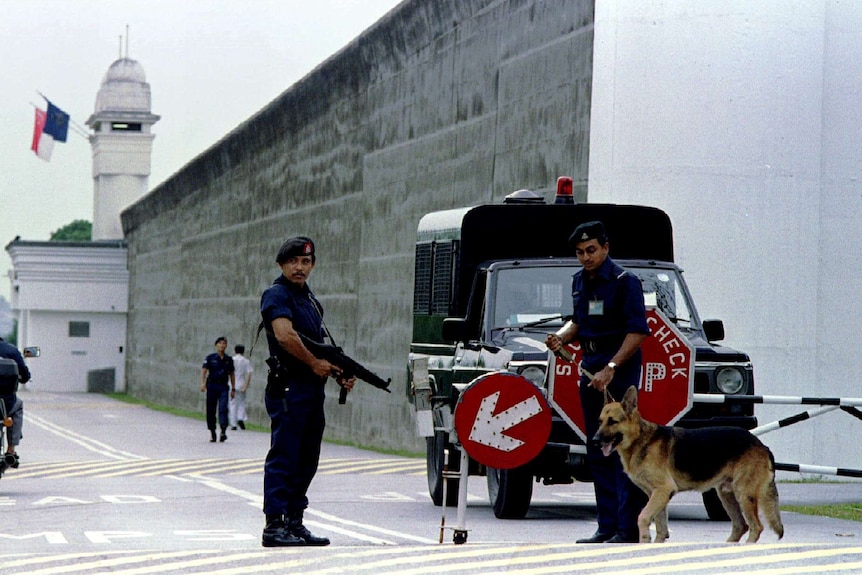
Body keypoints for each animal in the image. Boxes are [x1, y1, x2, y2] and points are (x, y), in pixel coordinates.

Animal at [596, 388, 788, 544]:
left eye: (612, 421)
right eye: (600, 421)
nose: (595, 440)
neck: (640, 440)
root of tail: (761, 444)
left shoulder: (663, 490)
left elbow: (643, 517)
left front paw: (644, 539)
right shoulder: (656, 494)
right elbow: (660, 526)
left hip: (743, 494)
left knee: (756, 526)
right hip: (726, 495)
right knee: (741, 526)